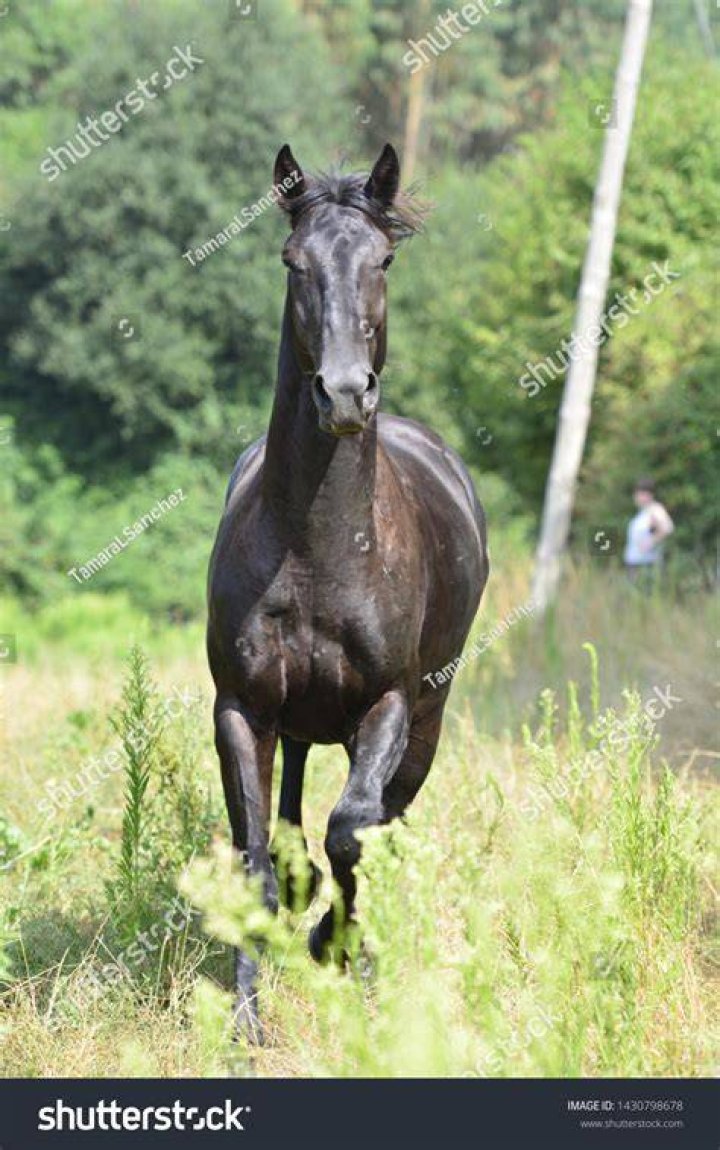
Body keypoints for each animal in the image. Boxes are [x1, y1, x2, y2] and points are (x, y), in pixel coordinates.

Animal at [206, 143, 488, 1040]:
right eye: (293, 261)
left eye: (384, 260)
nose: (344, 394)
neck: (320, 548)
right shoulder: (242, 708)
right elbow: (258, 860)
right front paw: (247, 1023)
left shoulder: (388, 706)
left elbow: (352, 833)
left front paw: (337, 949)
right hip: (296, 720)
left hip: (428, 721)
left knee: (380, 822)